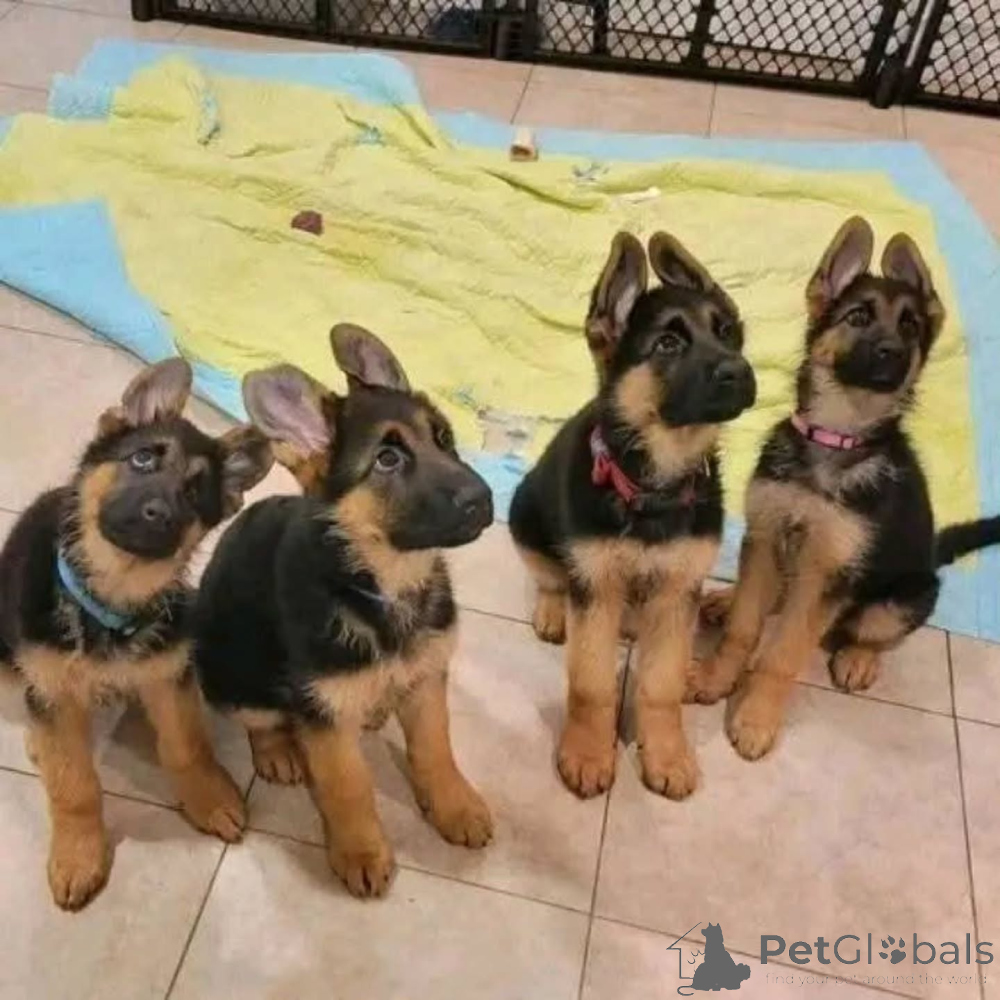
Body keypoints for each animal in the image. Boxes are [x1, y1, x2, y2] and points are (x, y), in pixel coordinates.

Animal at [0, 358, 272, 910]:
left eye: (195, 492)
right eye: (142, 459)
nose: (158, 515)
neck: (112, 599)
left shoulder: (169, 673)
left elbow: (187, 745)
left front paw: (207, 797)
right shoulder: (53, 690)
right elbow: (75, 785)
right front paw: (79, 854)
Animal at [193, 324, 495, 898]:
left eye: (444, 437)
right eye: (387, 460)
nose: (485, 500)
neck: (381, 585)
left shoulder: (426, 679)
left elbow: (435, 748)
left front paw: (454, 806)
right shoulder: (326, 715)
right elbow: (347, 784)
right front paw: (360, 850)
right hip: (234, 679)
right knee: (263, 720)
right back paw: (278, 752)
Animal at [508, 231, 756, 799]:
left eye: (728, 333)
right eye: (667, 345)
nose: (740, 372)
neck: (652, 484)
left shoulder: (677, 591)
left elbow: (661, 685)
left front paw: (665, 754)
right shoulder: (596, 587)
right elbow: (591, 683)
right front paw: (587, 751)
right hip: (523, 516)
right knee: (549, 574)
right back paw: (553, 609)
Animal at [689, 216, 1000, 760]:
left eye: (910, 326)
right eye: (858, 317)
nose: (892, 353)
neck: (836, 437)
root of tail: (933, 555)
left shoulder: (829, 574)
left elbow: (783, 654)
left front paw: (755, 718)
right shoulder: (766, 535)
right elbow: (746, 628)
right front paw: (716, 677)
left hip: (899, 599)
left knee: (871, 632)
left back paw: (859, 657)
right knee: (768, 597)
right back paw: (727, 600)